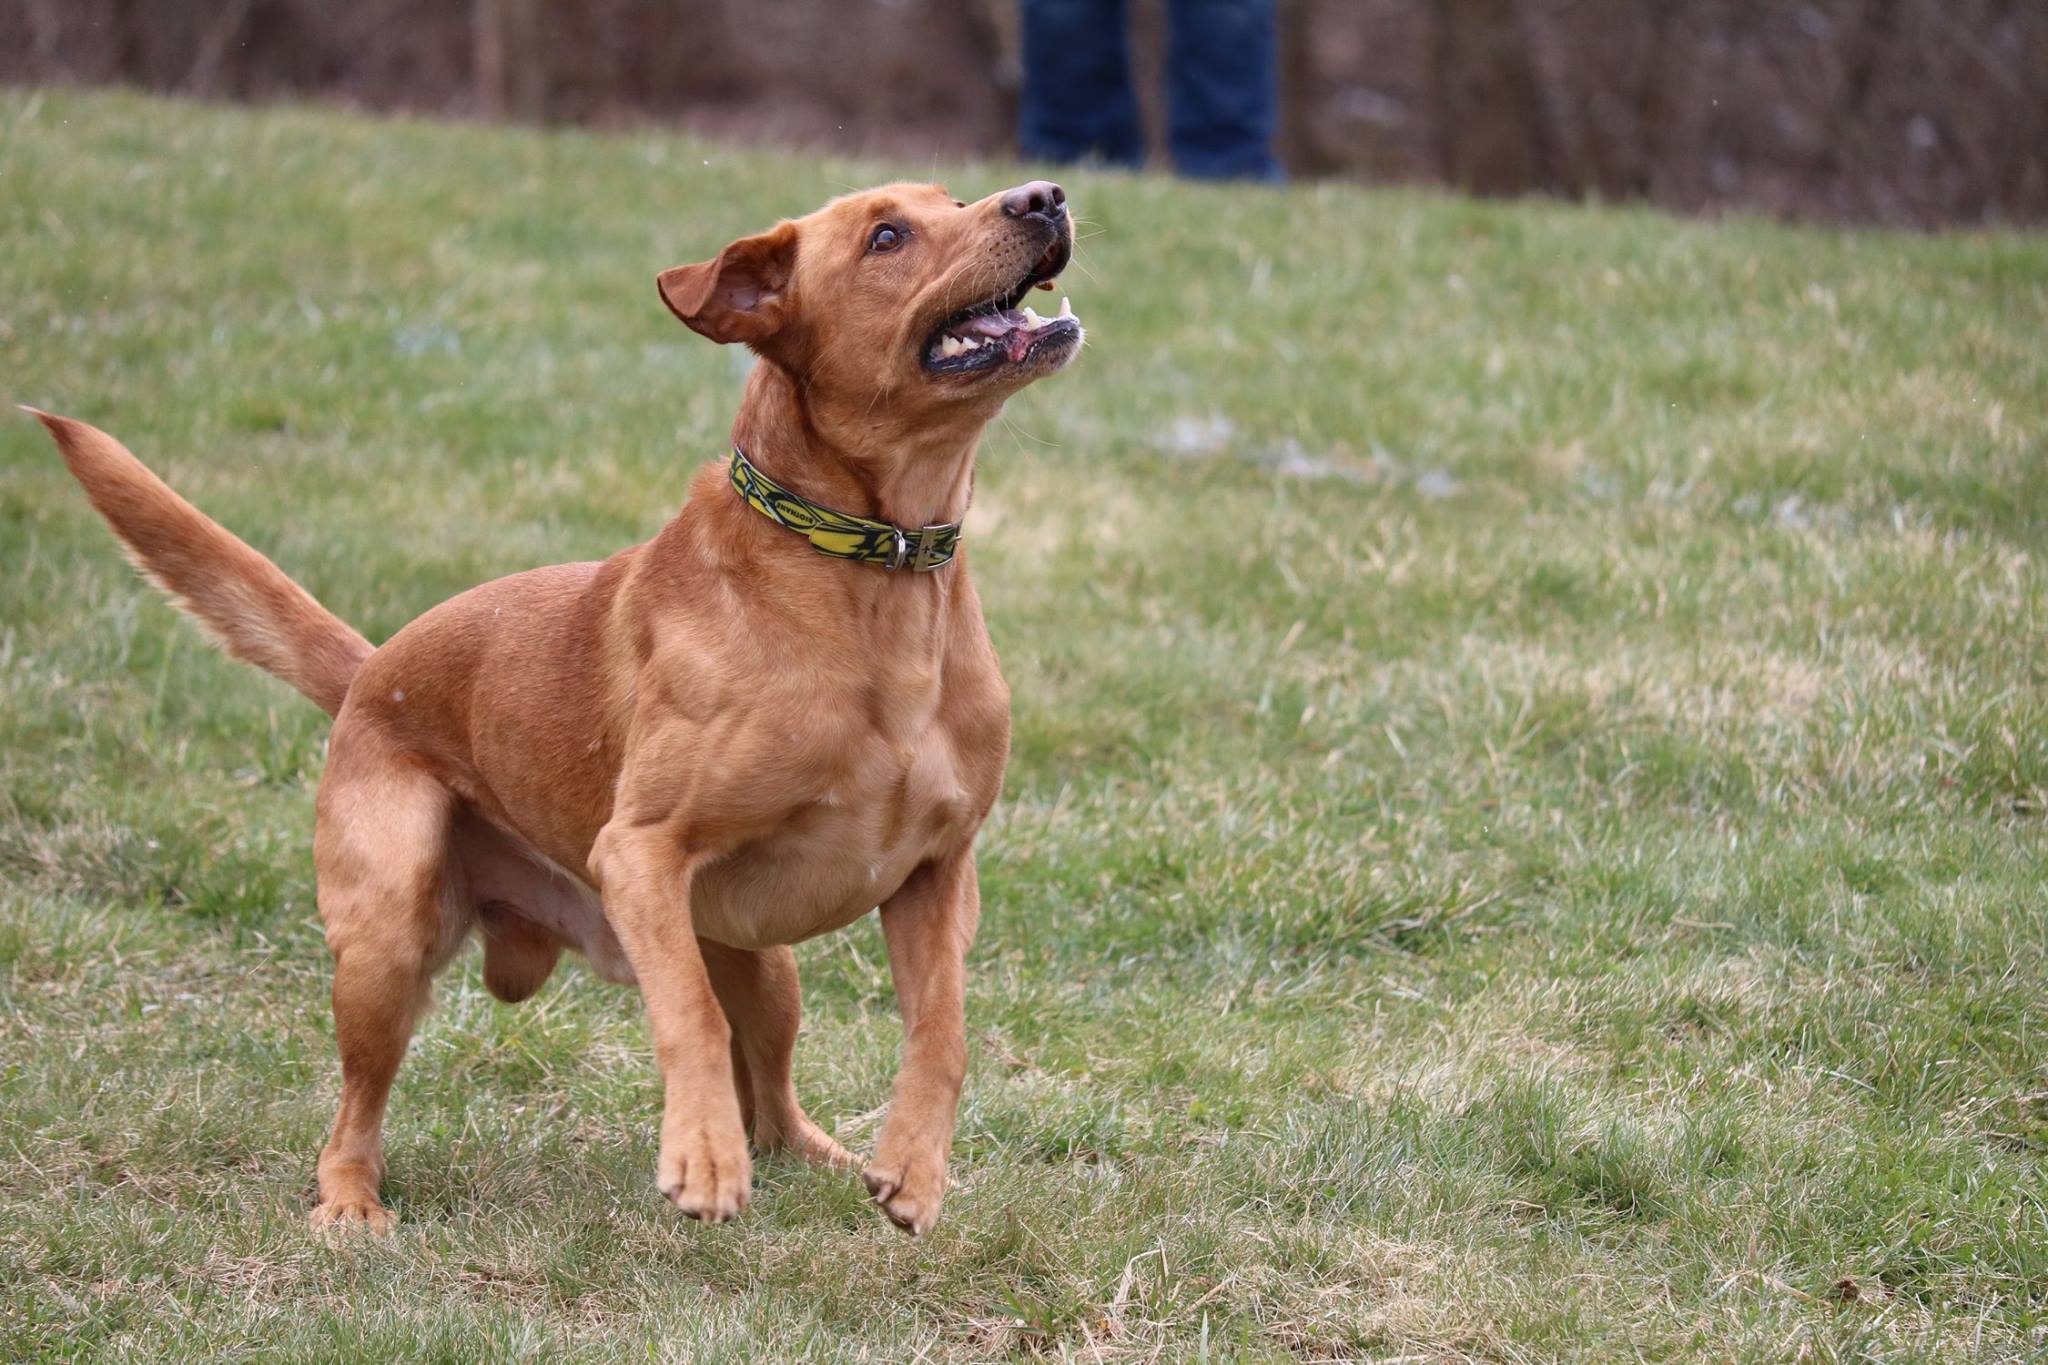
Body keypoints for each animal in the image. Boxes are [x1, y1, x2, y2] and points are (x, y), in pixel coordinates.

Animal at [28, 175, 1089, 1236]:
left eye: (950, 196)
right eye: (887, 237)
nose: (1043, 196)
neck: (880, 576)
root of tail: (372, 670)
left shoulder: (938, 872)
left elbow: (942, 1029)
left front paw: (913, 1165)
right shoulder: (641, 852)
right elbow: (690, 1018)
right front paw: (701, 1156)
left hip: (763, 960)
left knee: (777, 1104)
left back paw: (823, 1154)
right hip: (387, 937)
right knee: (353, 1108)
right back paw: (351, 1204)